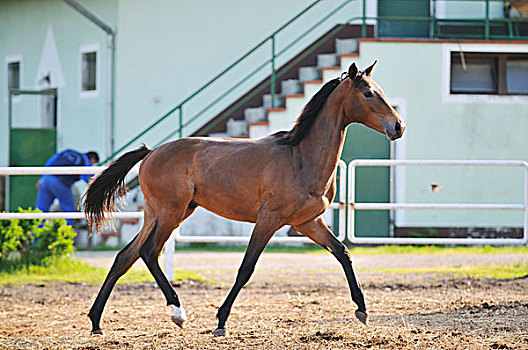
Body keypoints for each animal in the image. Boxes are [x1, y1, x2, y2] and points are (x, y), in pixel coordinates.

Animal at [82, 62, 406, 336]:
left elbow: (343, 252)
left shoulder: (308, 222)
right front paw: (221, 321)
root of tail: (150, 152)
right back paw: (178, 312)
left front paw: (362, 309)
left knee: (125, 257)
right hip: (171, 213)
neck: (301, 157)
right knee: (149, 252)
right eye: (368, 93)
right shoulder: (269, 220)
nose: (398, 126)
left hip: (158, 214)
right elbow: (245, 268)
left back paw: (96, 322)